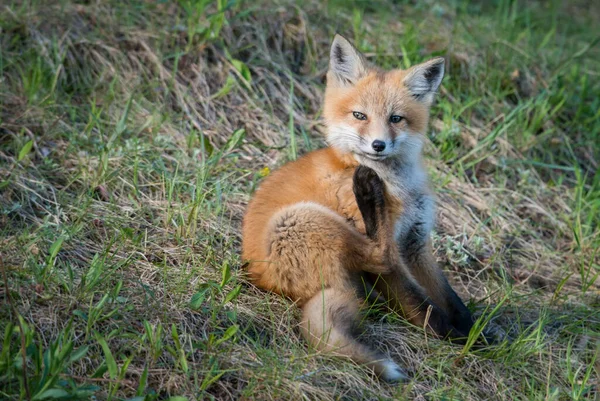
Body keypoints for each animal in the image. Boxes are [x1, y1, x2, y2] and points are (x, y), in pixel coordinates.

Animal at [241, 33, 476, 378]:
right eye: (359, 116)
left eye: (396, 119)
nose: (378, 145)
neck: (400, 187)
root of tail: (274, 286)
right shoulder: (397, 253)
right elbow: (419, 303)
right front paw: (453, 336)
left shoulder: (416, 243)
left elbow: (448, 296)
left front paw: (476, 331)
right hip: (302, 220)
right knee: (381, 254)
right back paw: (368, 190)